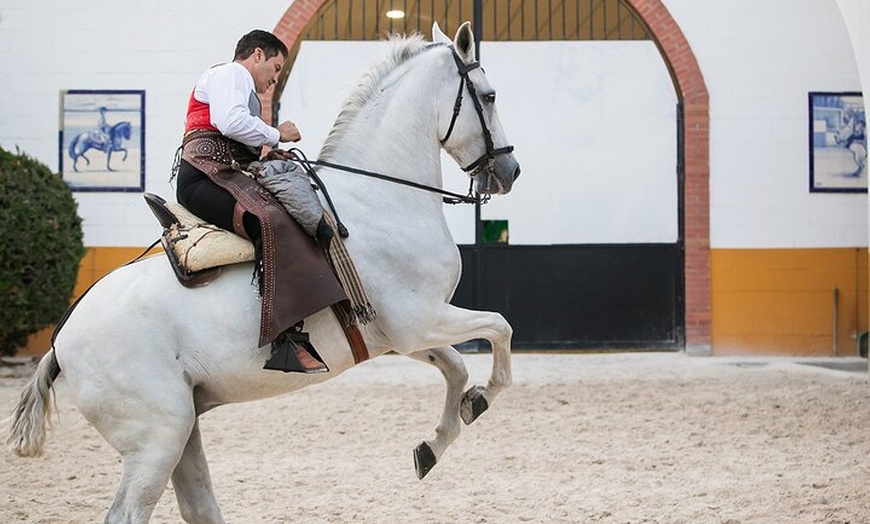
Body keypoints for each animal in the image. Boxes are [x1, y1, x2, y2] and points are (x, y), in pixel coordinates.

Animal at [6, 21, 520, 524]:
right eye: (490, 95)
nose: (510, 170)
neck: (380, 199)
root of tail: (62, 337)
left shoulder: (402, 334)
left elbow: (456, 367)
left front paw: (437, 440)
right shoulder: (420, 320)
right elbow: (500, 329)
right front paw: (484, 397)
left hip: (183, 431)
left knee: (199, 506)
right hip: (158, 438)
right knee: (131, 512)